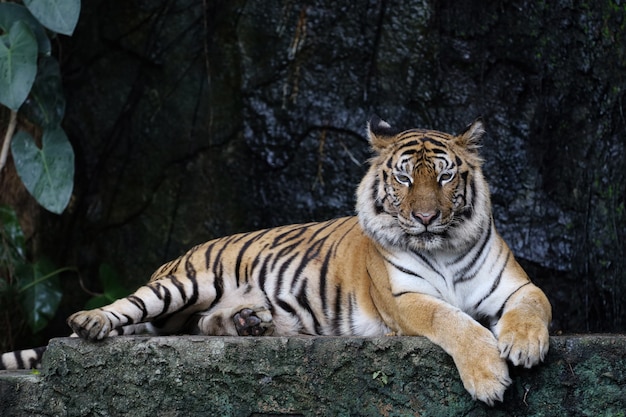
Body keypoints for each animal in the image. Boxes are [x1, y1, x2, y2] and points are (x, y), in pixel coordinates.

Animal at [0, 115, 548, 404]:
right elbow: (453, 321)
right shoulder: (404, 297)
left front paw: (523, 345)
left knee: (200, 324)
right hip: (183, 283)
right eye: (404, 178)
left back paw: (250, 322)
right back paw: (90, 322)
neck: (445, 248)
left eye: (446, 176)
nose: (428, 217)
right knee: (128, 307)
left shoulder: (514, 286)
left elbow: (534, 305)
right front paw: (489, 379)